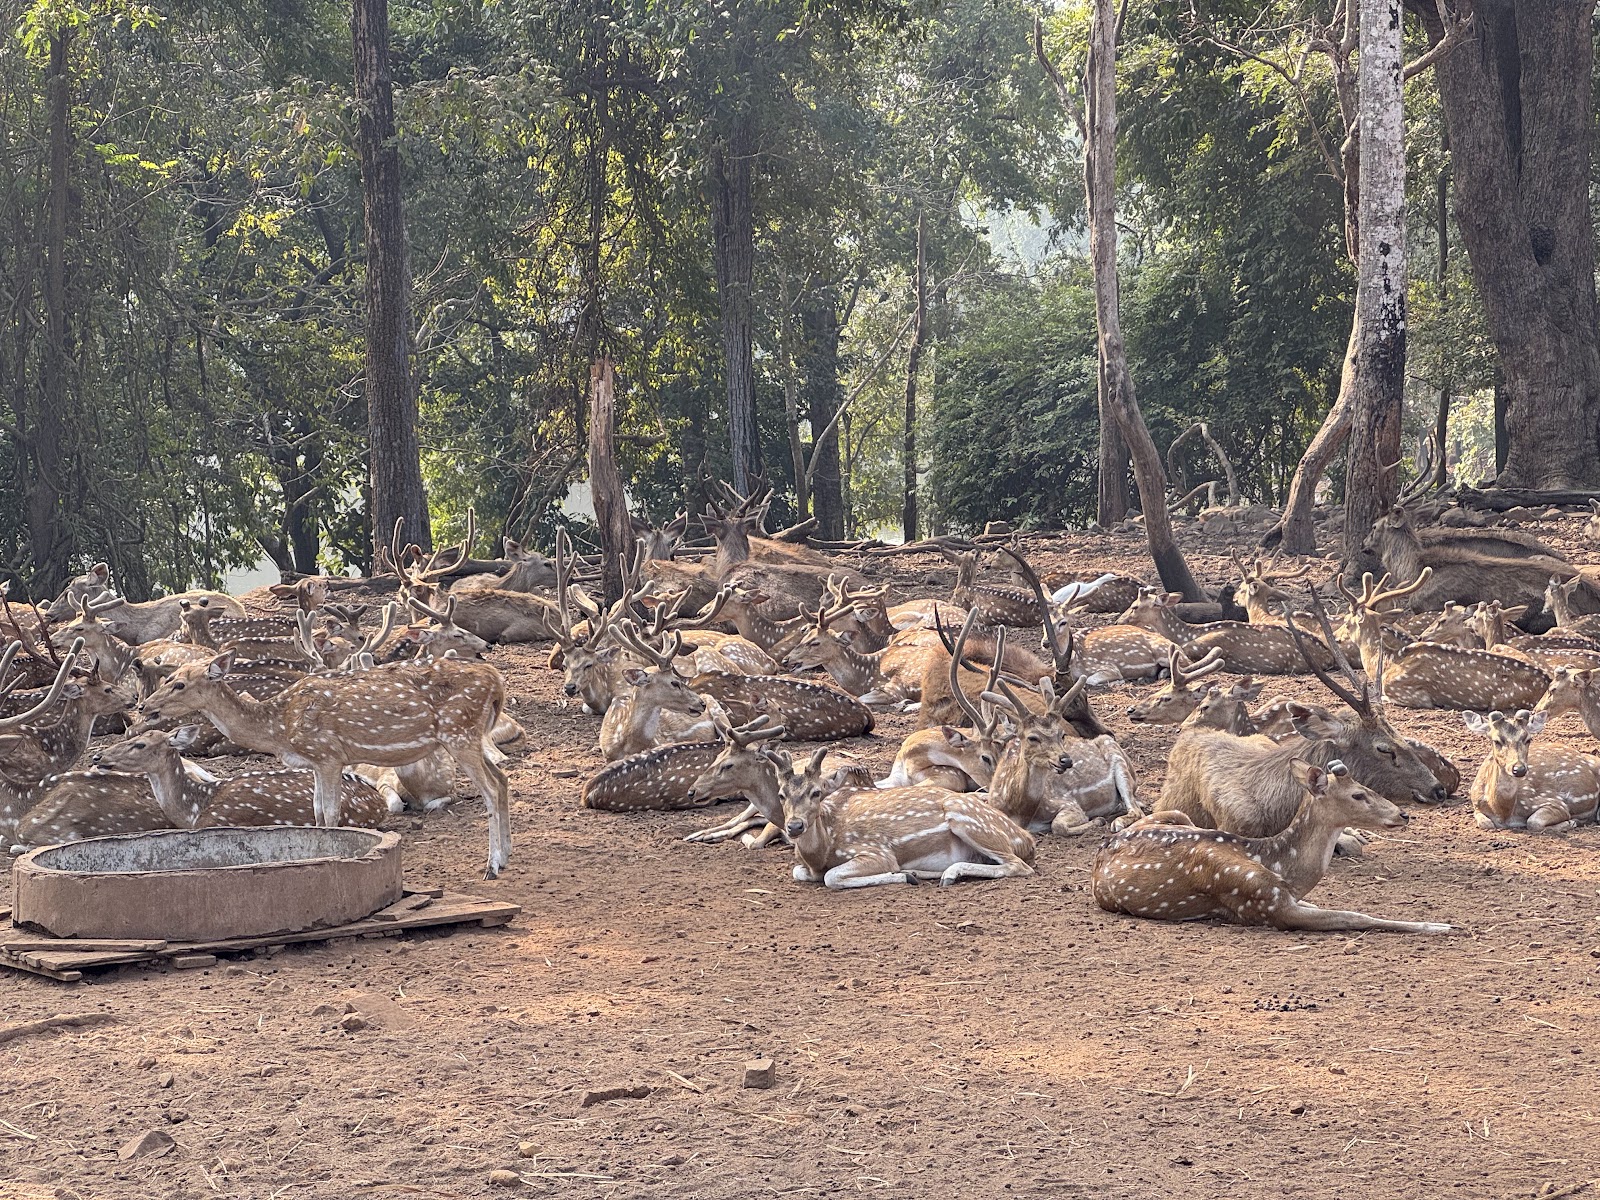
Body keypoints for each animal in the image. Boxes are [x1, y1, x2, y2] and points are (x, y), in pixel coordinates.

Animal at [136, 649, 513, 877]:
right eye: (168, 677)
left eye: (179, 683)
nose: (144, 707)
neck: (279, 727)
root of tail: (496, 682)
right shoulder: (316, 762)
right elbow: (316, 813)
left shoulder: (329, 754)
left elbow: (331, 814)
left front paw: (334, 859)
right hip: (472, 736)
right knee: (503, 779)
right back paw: (507, 855)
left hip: (458, 732)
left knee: (491, 789)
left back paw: (492, 864)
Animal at [777, 748, 1036, 889]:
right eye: (781, 794)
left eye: (816, 792)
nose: (795, 826)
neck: (822, 852)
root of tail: (1026, 839)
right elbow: (798, 872)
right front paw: (908, 875)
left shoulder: (876, 852)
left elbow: (831, 876)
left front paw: (901, 875)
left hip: (965, 816)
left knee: (1018, 865)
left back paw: (948, 874)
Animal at [1093, 760, 1450, 934]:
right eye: (1358, 794)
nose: (1403, 814)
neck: (1282, 868)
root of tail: (1101, 851)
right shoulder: (1266, 906)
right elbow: (1354, 916)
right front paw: (1440, 926)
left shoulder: (1284, 898)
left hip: (1180, 816)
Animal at [1463, 708, 1600, 832]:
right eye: (1496, 741)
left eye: (1528, 739)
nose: (1519, 769)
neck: (1503, 813)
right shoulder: (1476, 804)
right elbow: (1486, 824)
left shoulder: (1554, 802)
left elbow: (1533, 822)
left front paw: (1571, 822)